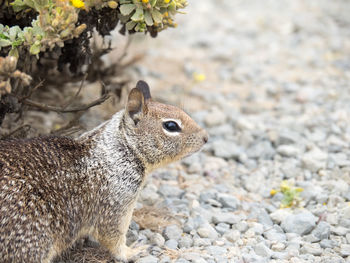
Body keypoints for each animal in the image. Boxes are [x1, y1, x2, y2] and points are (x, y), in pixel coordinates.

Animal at [0, 81, 208, 263]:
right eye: (171, 126)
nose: (206, 138)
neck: (122, 147)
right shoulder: (116, 205)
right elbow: (113, 237)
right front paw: (132, 252)